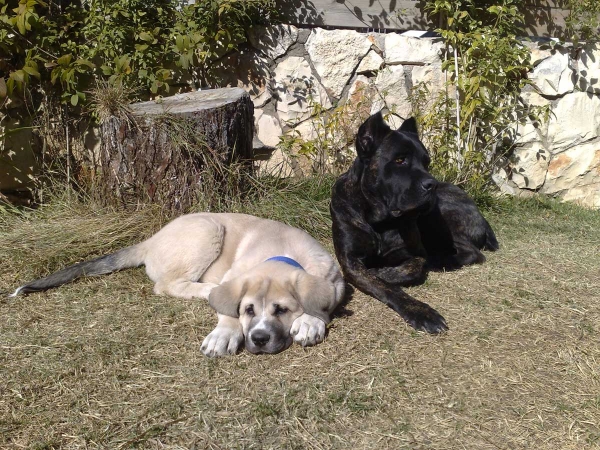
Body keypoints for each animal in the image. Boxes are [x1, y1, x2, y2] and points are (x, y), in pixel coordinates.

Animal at [11, 213, 344, 356]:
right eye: (248, 310)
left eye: (282, 310)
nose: (259, 338)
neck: (282, 251)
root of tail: (150, 240)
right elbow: (228, 311)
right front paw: (224, 334)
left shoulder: (335, 280)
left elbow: (320, 302)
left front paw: (309, 322)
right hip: (208, 229)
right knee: (167, 284)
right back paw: (206, 290)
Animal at [328, 112, 496, 334]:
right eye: (400, 160)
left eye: (427, 163)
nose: (432, 184)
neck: (378, 220)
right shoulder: (351, 260)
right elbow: (385, 287)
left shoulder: (413, 252)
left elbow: (411, 269)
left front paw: (384, 272)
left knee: (471, 253)